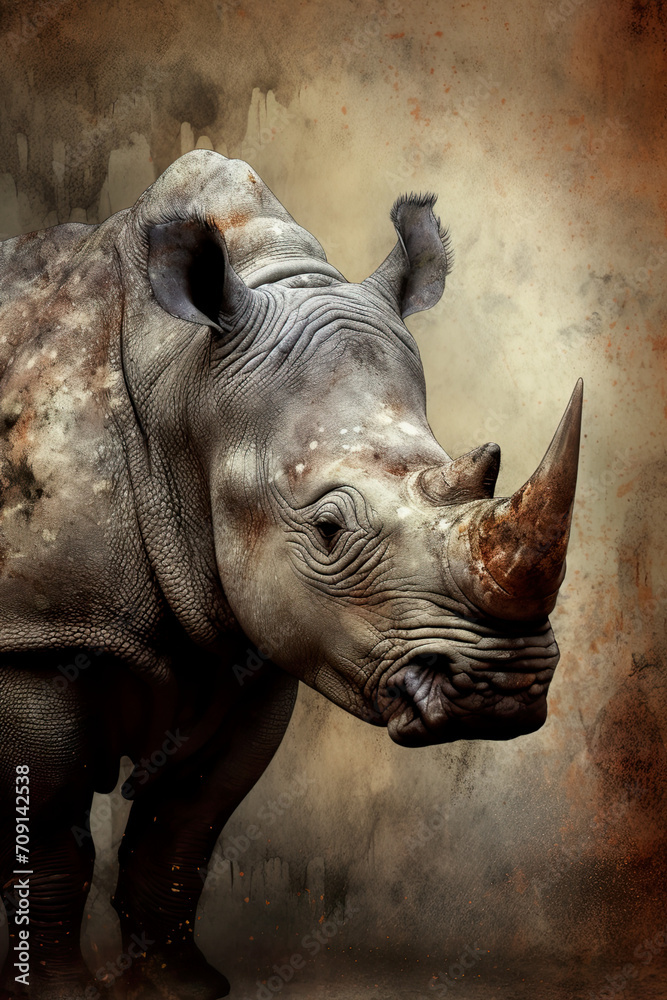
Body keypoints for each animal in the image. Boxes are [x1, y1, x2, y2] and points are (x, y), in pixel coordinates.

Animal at [0, 150, 582, 1000]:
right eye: (329, 529)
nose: (500, 690)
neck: (184, 385)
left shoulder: (257, 635)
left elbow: (186, 823)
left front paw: (180, 987)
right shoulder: (34, 633)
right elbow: (47, 825)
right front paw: (56, 993)